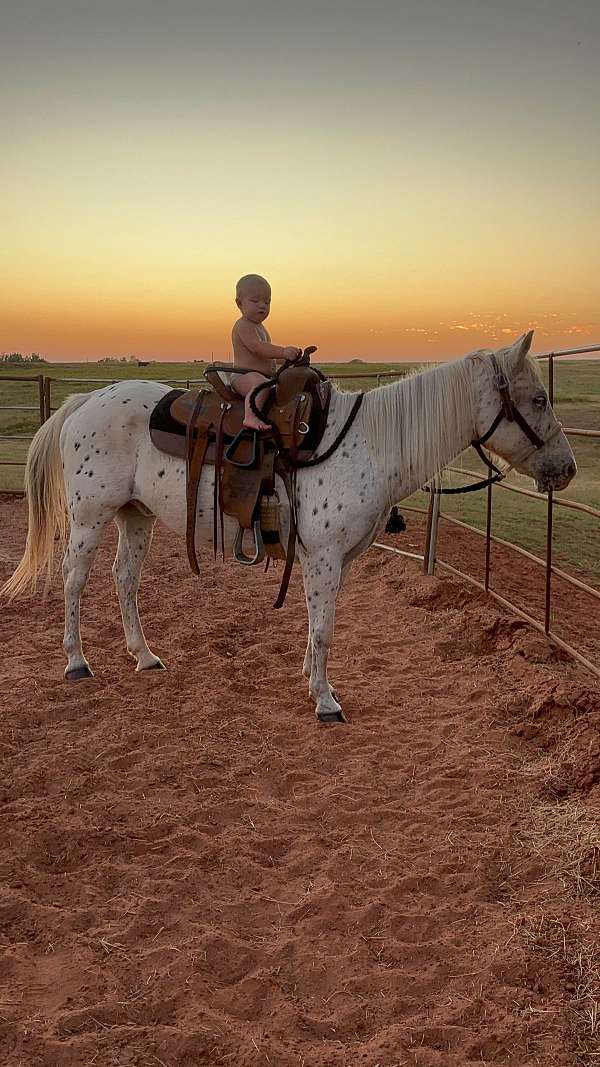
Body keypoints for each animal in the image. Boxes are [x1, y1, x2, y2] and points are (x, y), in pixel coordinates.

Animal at [2, 331, 576, 723]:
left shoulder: (335, 560)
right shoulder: (323, 556)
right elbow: (324, 627)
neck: (369, 443)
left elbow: (318, 623)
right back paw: (77, 661)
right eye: (539, 399)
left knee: (124, 580)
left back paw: (143, 656)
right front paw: (325, 700)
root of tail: (85, 402)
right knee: (74, 581)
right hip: (90, 517)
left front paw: (309, 677)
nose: (567, 468)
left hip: (134, 515)